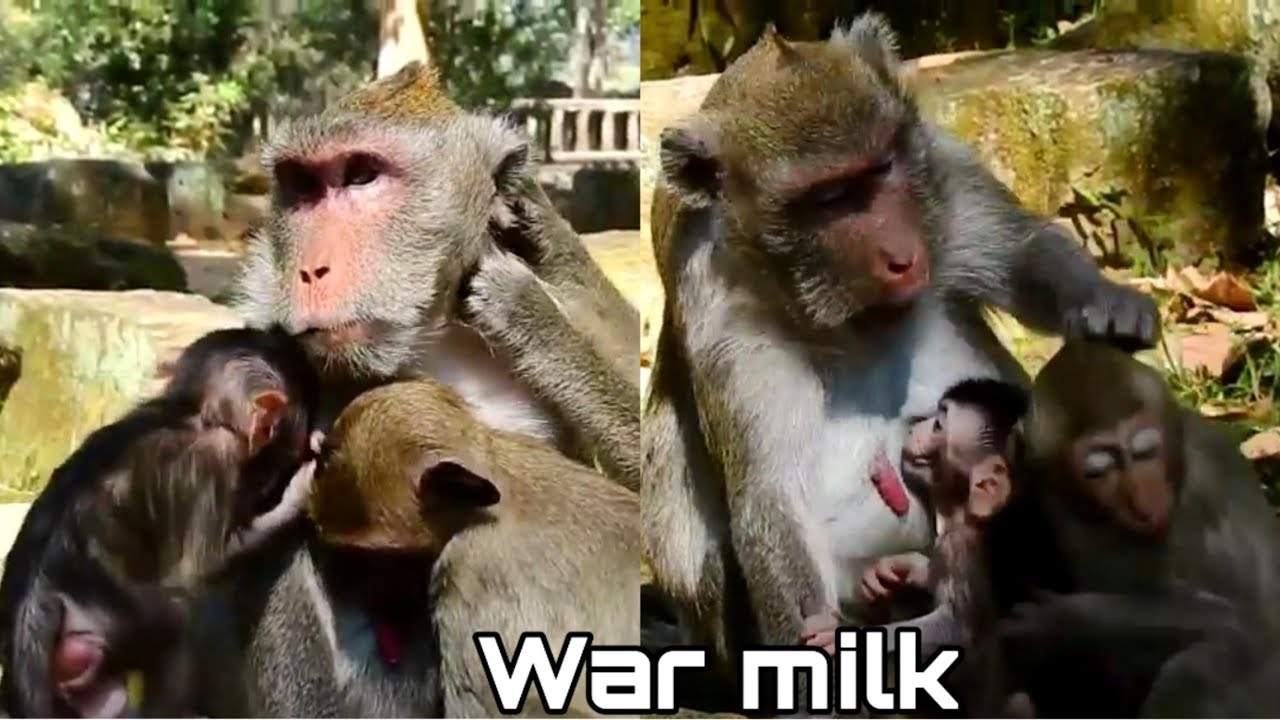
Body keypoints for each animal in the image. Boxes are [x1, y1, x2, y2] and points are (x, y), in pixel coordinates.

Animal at [0, 327, 321, 718]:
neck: (192, 411)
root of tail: (30, 606)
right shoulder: (211, 463)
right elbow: (205, 563)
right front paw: (299, 487)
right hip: (109, 616)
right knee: (178, 620)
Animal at [641, 13, 1159, 712]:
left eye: (880, 169)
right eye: (830, 198)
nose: (899, 255)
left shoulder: (939, 170)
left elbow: (1025, 252)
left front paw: (1104, 303)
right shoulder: (721, 313)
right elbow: (769, 497)